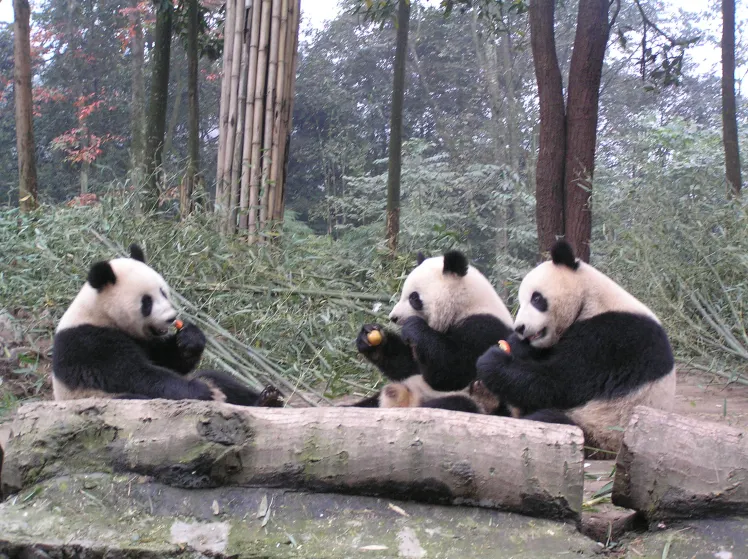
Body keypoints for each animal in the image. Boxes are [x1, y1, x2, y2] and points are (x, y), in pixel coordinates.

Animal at [51, 245, 282, 406]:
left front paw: (190, 338)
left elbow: (169, 361)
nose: (171, 318)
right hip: (99, 398)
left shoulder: (145, 340)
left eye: (163, 291)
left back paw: (267, 399)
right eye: (146, 302)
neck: (100, 312)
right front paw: (202, 392)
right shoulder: (90, 342)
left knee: (219, 378)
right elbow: (134, 374)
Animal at [354, 249, 512, 412]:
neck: (466, 304)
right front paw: (371, 339)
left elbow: (453, 372)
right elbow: (410, 366)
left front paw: (414, 327)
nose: (394, 317)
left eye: (413, 297)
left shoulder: (485, 328)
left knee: (456, 404)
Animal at [480, 241, 676, 456]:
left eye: (536, 299)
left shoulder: (612, 338)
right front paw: (515, 345)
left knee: (550, 419)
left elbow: (562, 382)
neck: (590, 299)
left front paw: (491, 361)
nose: (520, 328)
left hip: (602, 430)